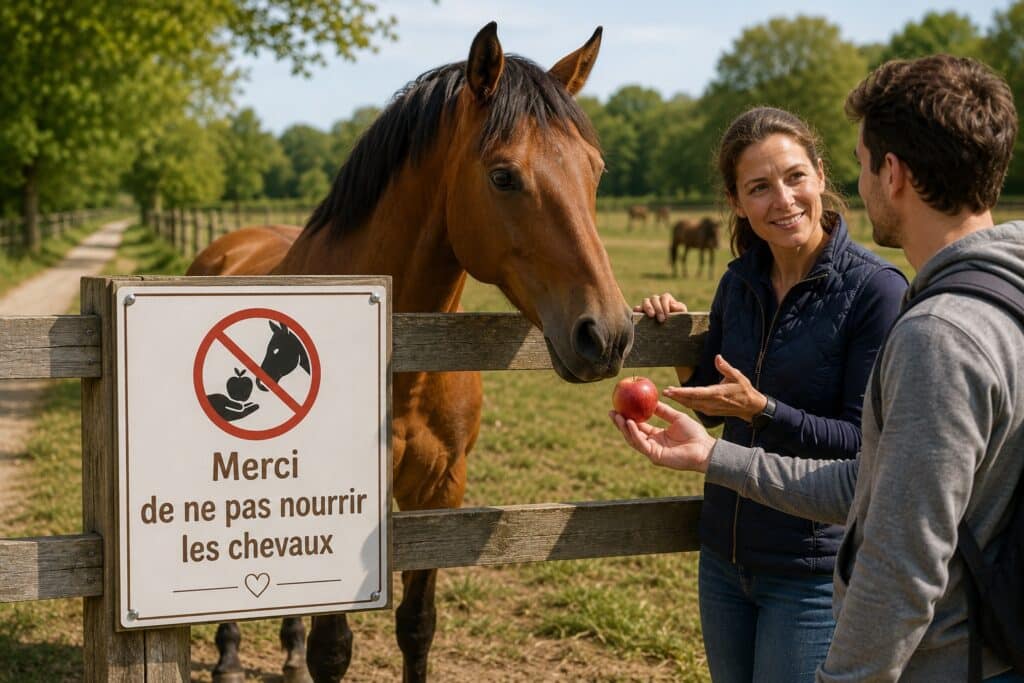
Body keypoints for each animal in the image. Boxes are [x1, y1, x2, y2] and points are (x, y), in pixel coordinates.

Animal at [187, 22, 634, 683]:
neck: (401, 367)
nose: (606, 334)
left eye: (596, 171)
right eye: (504, 176)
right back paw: (228, 656)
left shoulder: (439, 493)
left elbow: (417, 626)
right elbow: (333, 650)